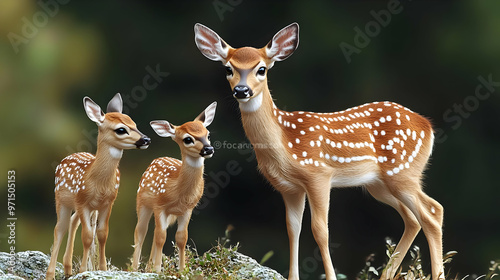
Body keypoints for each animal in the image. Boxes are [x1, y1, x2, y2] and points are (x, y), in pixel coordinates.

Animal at [46, 93, 151, 278]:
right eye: (121, 129)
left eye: (134, 124)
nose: (146, 139)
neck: (97, 181)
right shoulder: (82, 202)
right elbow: (88, 236)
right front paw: (83, 270)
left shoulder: (107, 203)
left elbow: (102, 234)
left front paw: (101, 269)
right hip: (62, 199)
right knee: (60, 229)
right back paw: (50, 274)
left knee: (73, 222)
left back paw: (68, 268)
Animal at [132, 101, 216, 272]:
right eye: (188, 139)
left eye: (208, 134)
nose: (208, 149)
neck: (177, 191)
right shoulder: (159, 206)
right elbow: (161, 237)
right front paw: (158, 270)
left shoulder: (187, 209)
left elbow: (181, 237)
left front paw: (182, 270)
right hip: (142, 202)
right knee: (141, 232)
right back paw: (134, 269)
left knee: (153, 233)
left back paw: (148, 267)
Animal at [193, 22, 444, 280]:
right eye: (228, 69)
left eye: (261, 69)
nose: (241, 90)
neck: (284, 143)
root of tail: (427, 126)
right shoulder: (289, 188)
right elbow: (293, 229)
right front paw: (292, 277)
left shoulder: (319, 175)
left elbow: (320, 231)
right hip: (379, 184)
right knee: (413, 219)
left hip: (403, 171)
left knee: (433, 211)